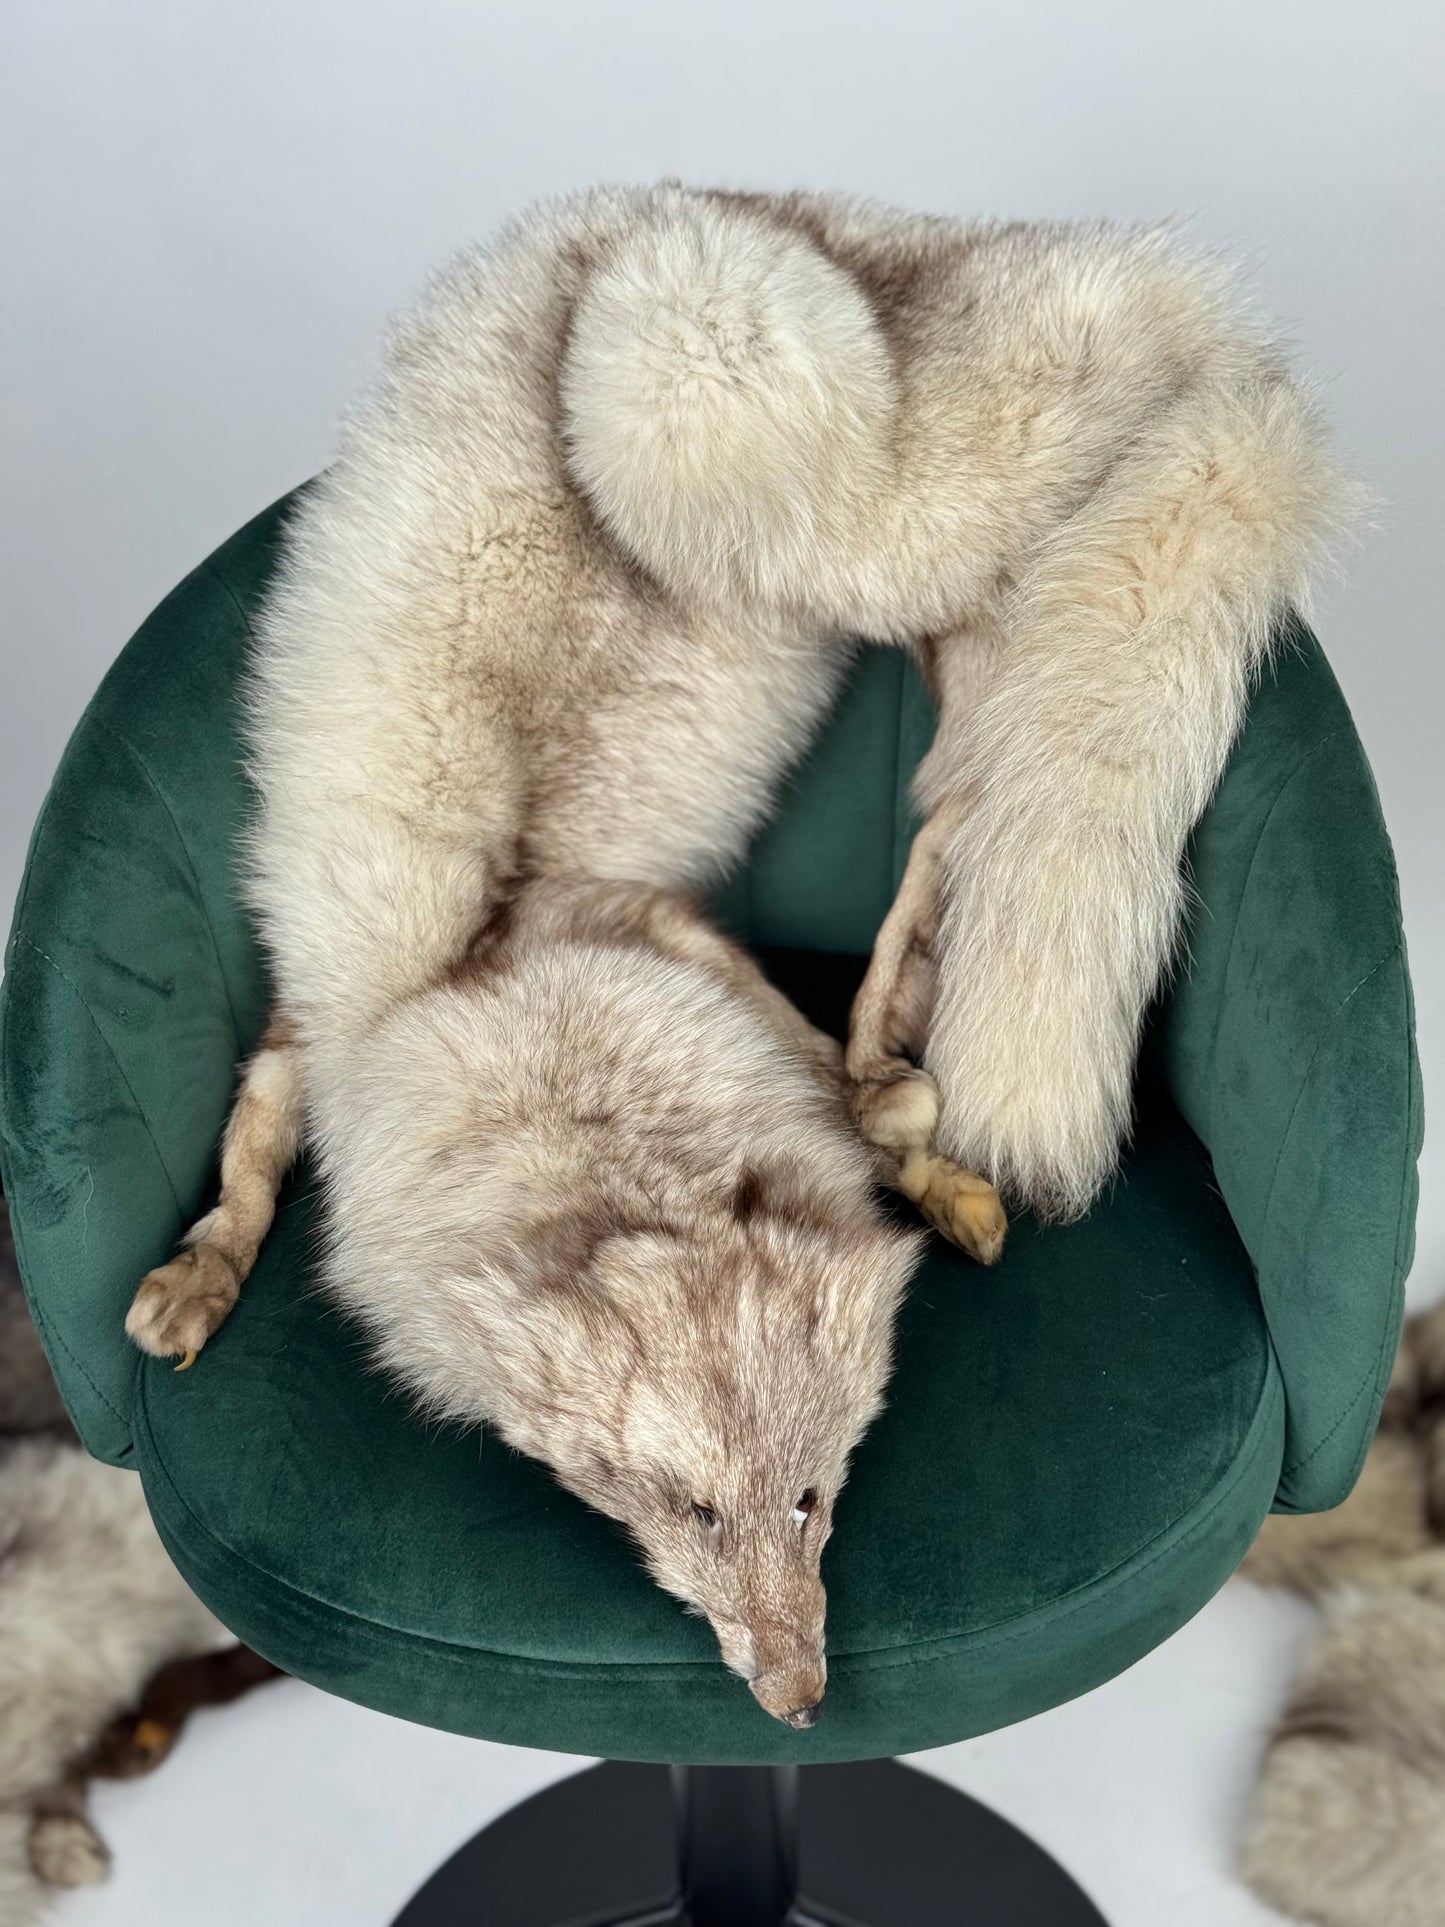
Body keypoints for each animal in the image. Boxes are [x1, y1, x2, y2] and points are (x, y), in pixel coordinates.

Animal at [125, 183, 1346, 1717]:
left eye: (813, 1499)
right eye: (692, 1511)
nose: (801, 1703)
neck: (480, 968)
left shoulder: (643, 930)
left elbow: (824, 1079)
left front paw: (914, 1156)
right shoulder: (351, 1008)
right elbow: (251, 1140)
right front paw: (205, 1269)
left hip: (719, 390)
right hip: (864, 543)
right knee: (972, 749)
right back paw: (916, 967)